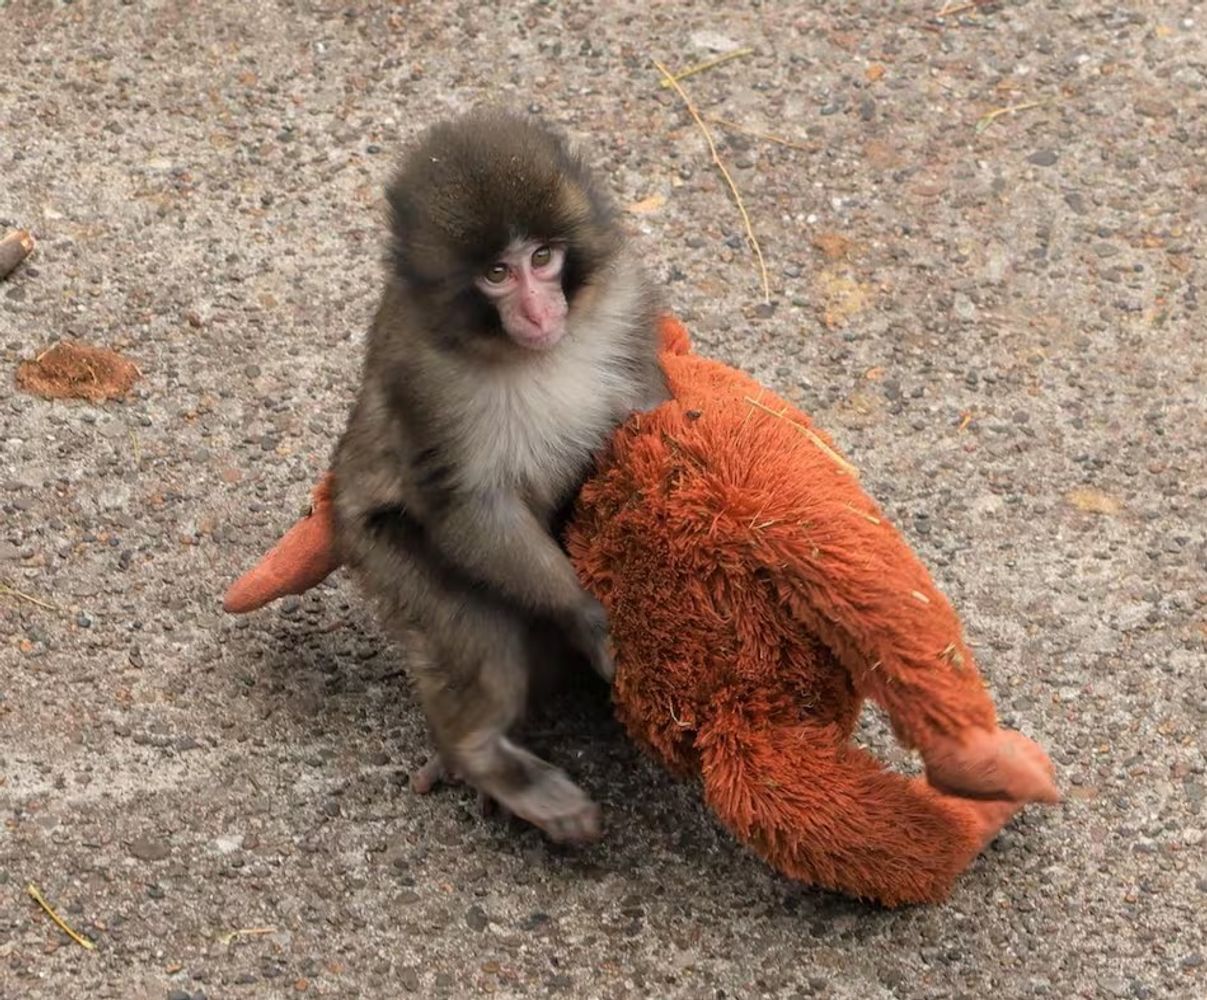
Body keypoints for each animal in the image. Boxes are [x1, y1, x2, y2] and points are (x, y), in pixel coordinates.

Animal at [329, 109, 669, 844]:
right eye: (495, 273)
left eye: (542, 259)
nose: (540, 313)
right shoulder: (423, 377)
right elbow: (468, 506)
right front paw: (588, 617)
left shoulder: (625, 301)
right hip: (377, 549)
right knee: (480, 637)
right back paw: (482, 755)